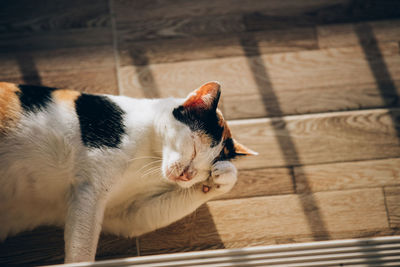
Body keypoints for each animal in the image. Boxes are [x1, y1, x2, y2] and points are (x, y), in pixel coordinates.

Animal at [0, 81, 256, 264]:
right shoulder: (91, 191)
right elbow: (81, 251)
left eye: (204, 171)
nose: (187, 175)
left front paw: (225, 176)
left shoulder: (127, 216)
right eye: (193, 148)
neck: (150, 159)